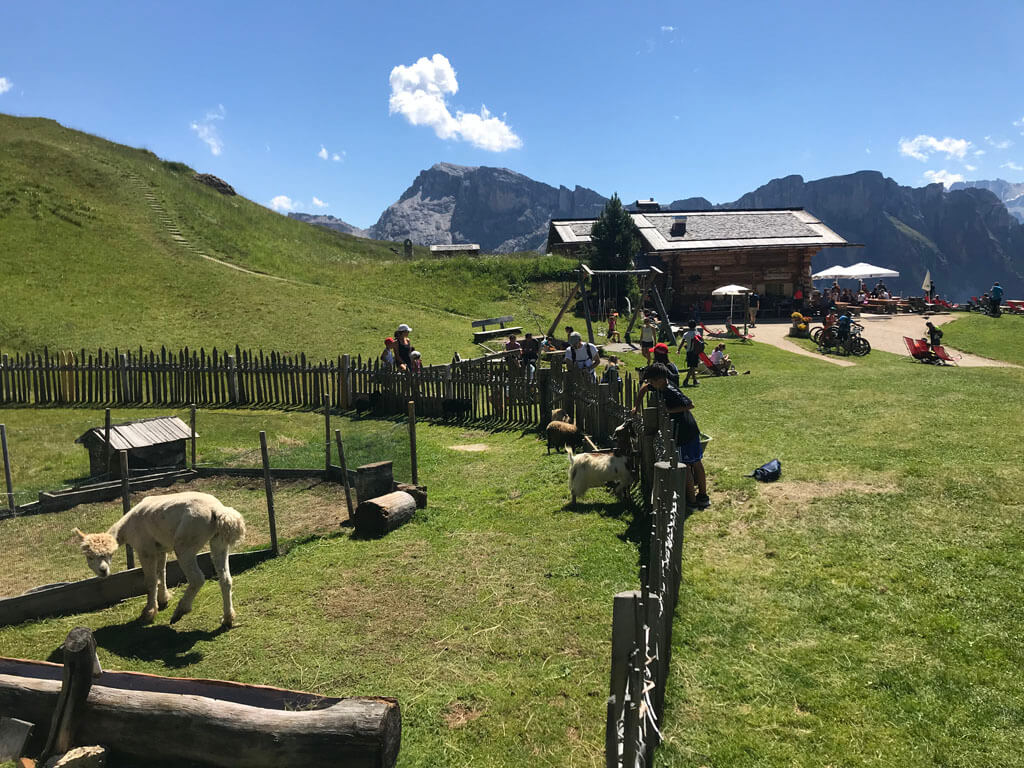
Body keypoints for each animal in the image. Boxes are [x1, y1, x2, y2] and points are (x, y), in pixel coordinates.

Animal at [74, 495, 245, 626]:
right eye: (90, 556)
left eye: (108, 555)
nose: (103, 571)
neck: (127, 527)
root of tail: (217, 510)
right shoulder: (161, 548)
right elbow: (162, 573)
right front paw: (163, 599)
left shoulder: (145, 549)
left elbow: (150, 580)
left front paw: (149, 612)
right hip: (219, 541)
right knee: (225, 579)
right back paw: (228, 618)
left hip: (187, 541)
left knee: (197, 578)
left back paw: (181, 609)